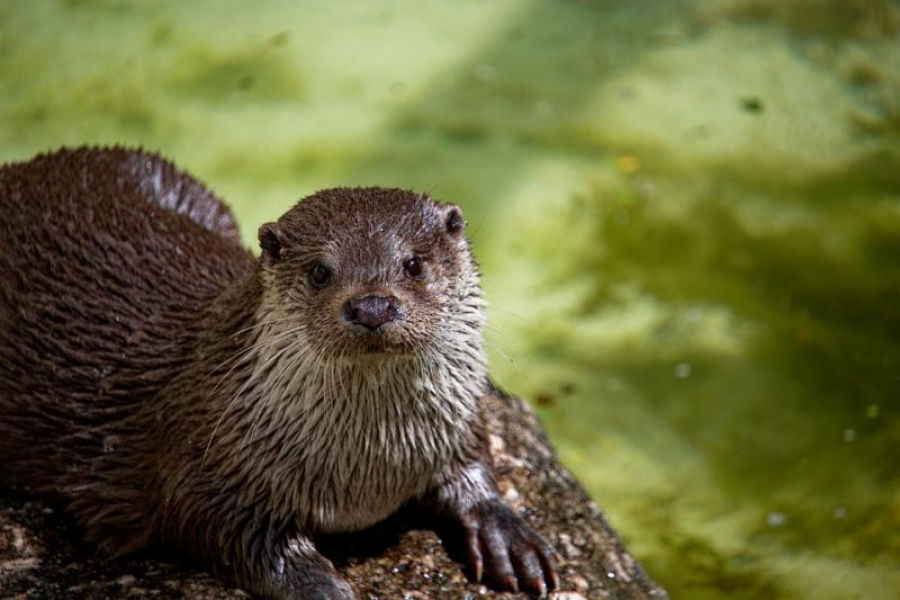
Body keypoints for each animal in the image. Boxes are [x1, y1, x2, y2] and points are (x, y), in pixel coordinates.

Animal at [0, 148, 560, 596]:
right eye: (320, 272)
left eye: (413, 265)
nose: (372, 306)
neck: (368, 469)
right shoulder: (202, 457)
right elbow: (231, 531)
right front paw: (323, 586)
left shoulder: (455, 420)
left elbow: (475, 461)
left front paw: (508, 535)